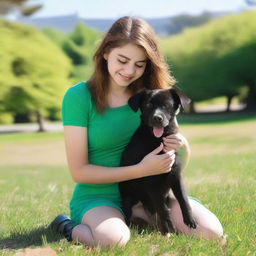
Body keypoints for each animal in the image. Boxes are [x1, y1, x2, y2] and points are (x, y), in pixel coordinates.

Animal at [119, 88, 197, 236]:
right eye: (148, 105)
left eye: (166, 105)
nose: (157, 118)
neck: (158, 140)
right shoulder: (152, 183)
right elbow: (163, 210)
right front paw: (168, 230)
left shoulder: (176, 175)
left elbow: (183, 199)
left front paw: (190, 219)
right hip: (127, 199)